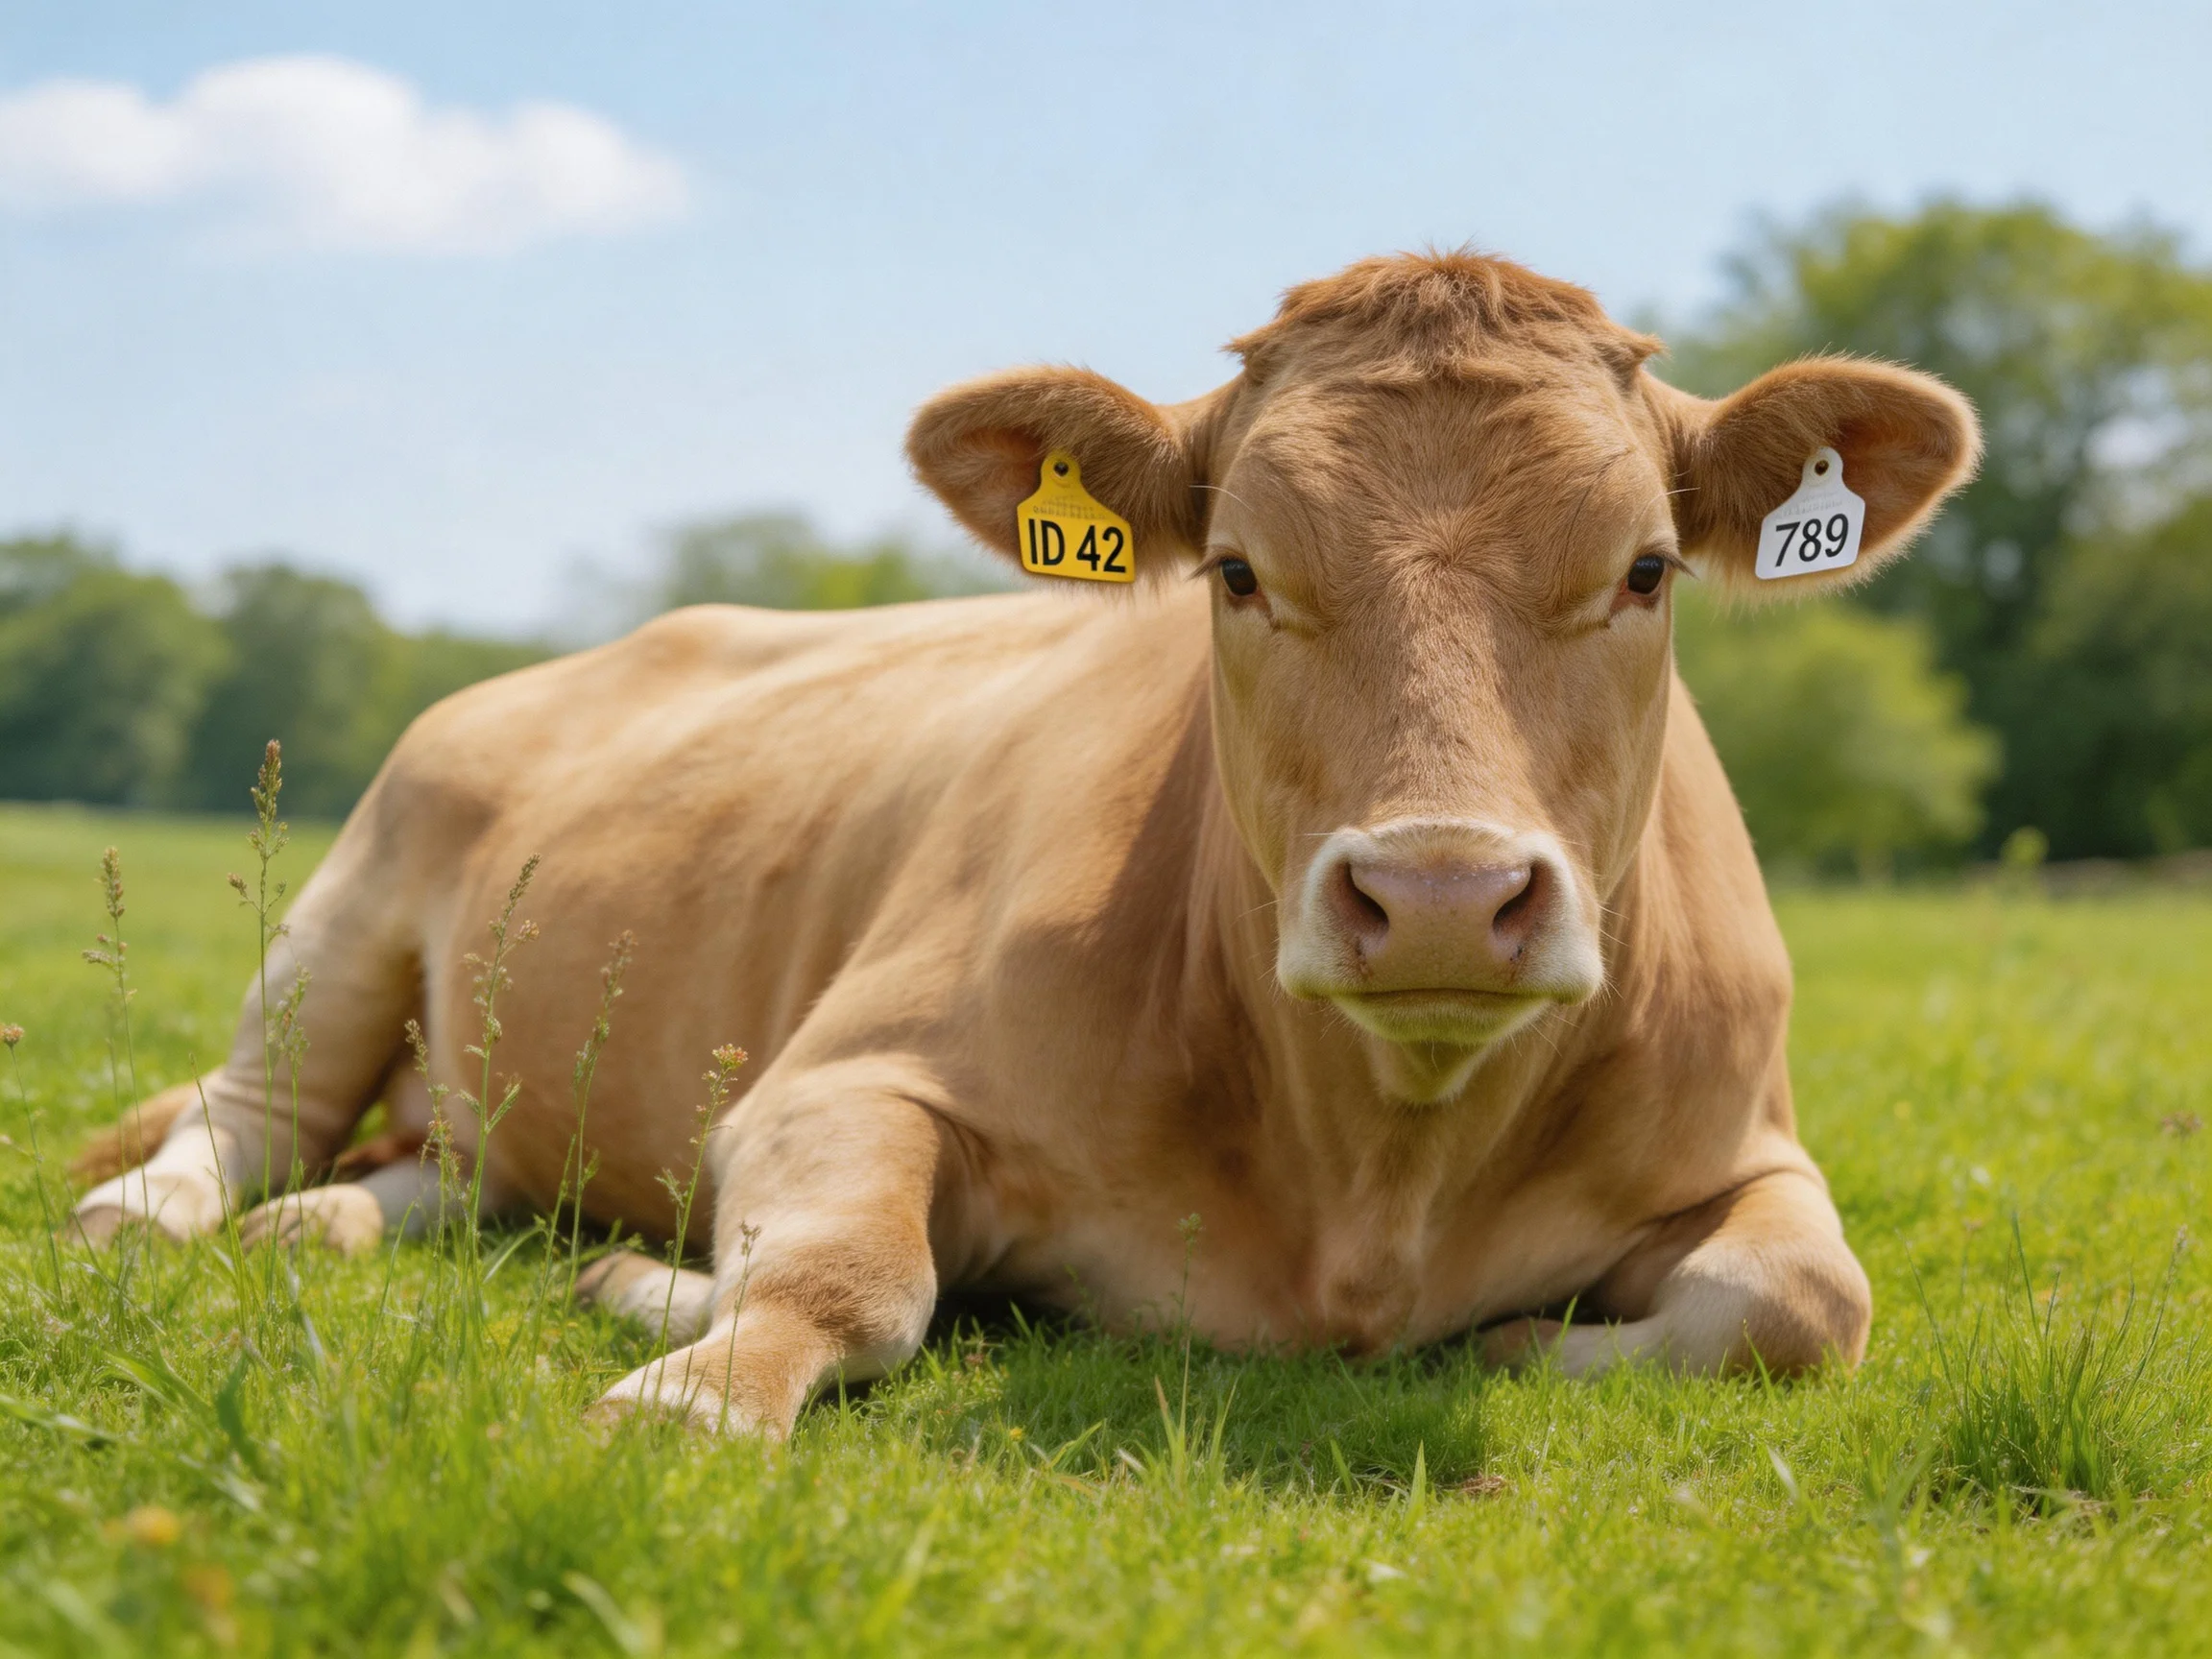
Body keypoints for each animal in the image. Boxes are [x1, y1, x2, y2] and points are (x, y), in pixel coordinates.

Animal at [72, 251, 1978, 1436]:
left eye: (1645, 567)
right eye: (1236, 571)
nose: (1438, 893)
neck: (1375, 1177)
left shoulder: (1751, 1140)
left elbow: (1805, 1298)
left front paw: (1520, 1331)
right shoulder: (839, 1075)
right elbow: (849, 1275)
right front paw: (679, 1365)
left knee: (424, 1166)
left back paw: (344, 1228)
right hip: (348, 901)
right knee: (241, 1117)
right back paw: (152, 1217)